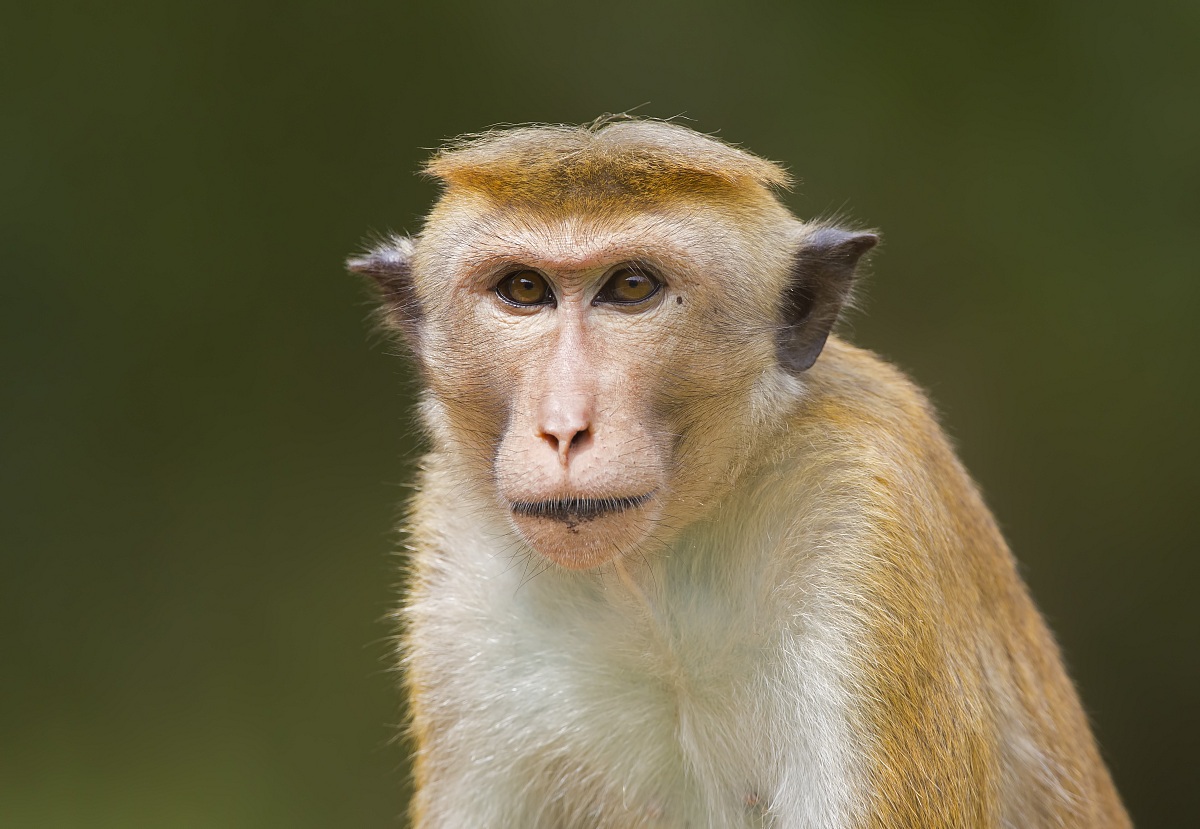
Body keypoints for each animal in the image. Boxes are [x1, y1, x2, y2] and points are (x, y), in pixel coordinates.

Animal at [348, 117, 1130, 828]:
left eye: (630, 286)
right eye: (523, 288)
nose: (565, 427)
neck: (653, 581)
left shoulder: (861, 516)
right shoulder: (463, 574)